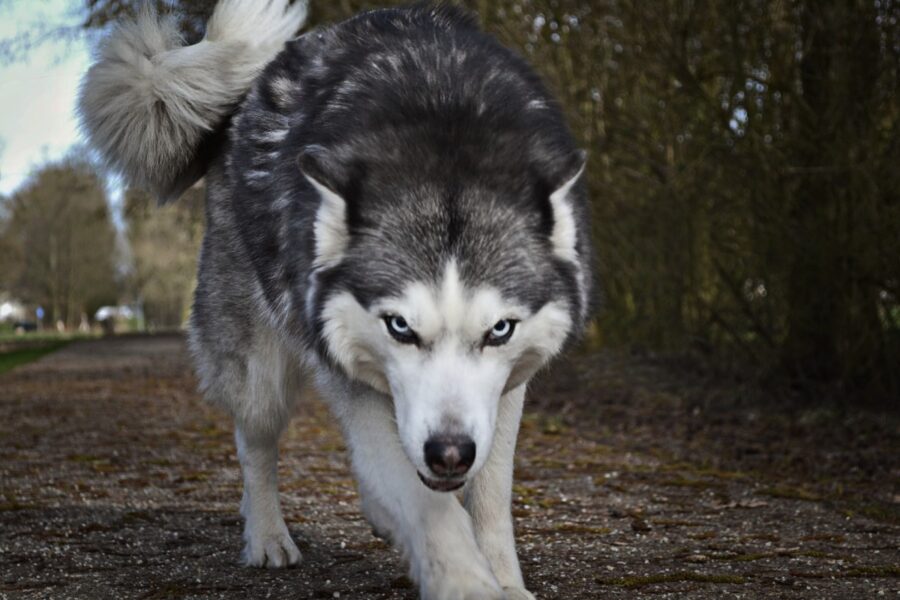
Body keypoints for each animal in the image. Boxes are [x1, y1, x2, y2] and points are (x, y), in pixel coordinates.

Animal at [81, 2, 596, 596]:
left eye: (500, 330)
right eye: (399, 327)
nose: (448, 454)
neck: (444, 124)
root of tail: (247, 95)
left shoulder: (503, 394)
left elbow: (488, 495)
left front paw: (506, 582)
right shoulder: (354, 380)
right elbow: (429, 507)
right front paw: (466, 581)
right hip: (259, 372)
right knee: (255, 445)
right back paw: (267, 538)